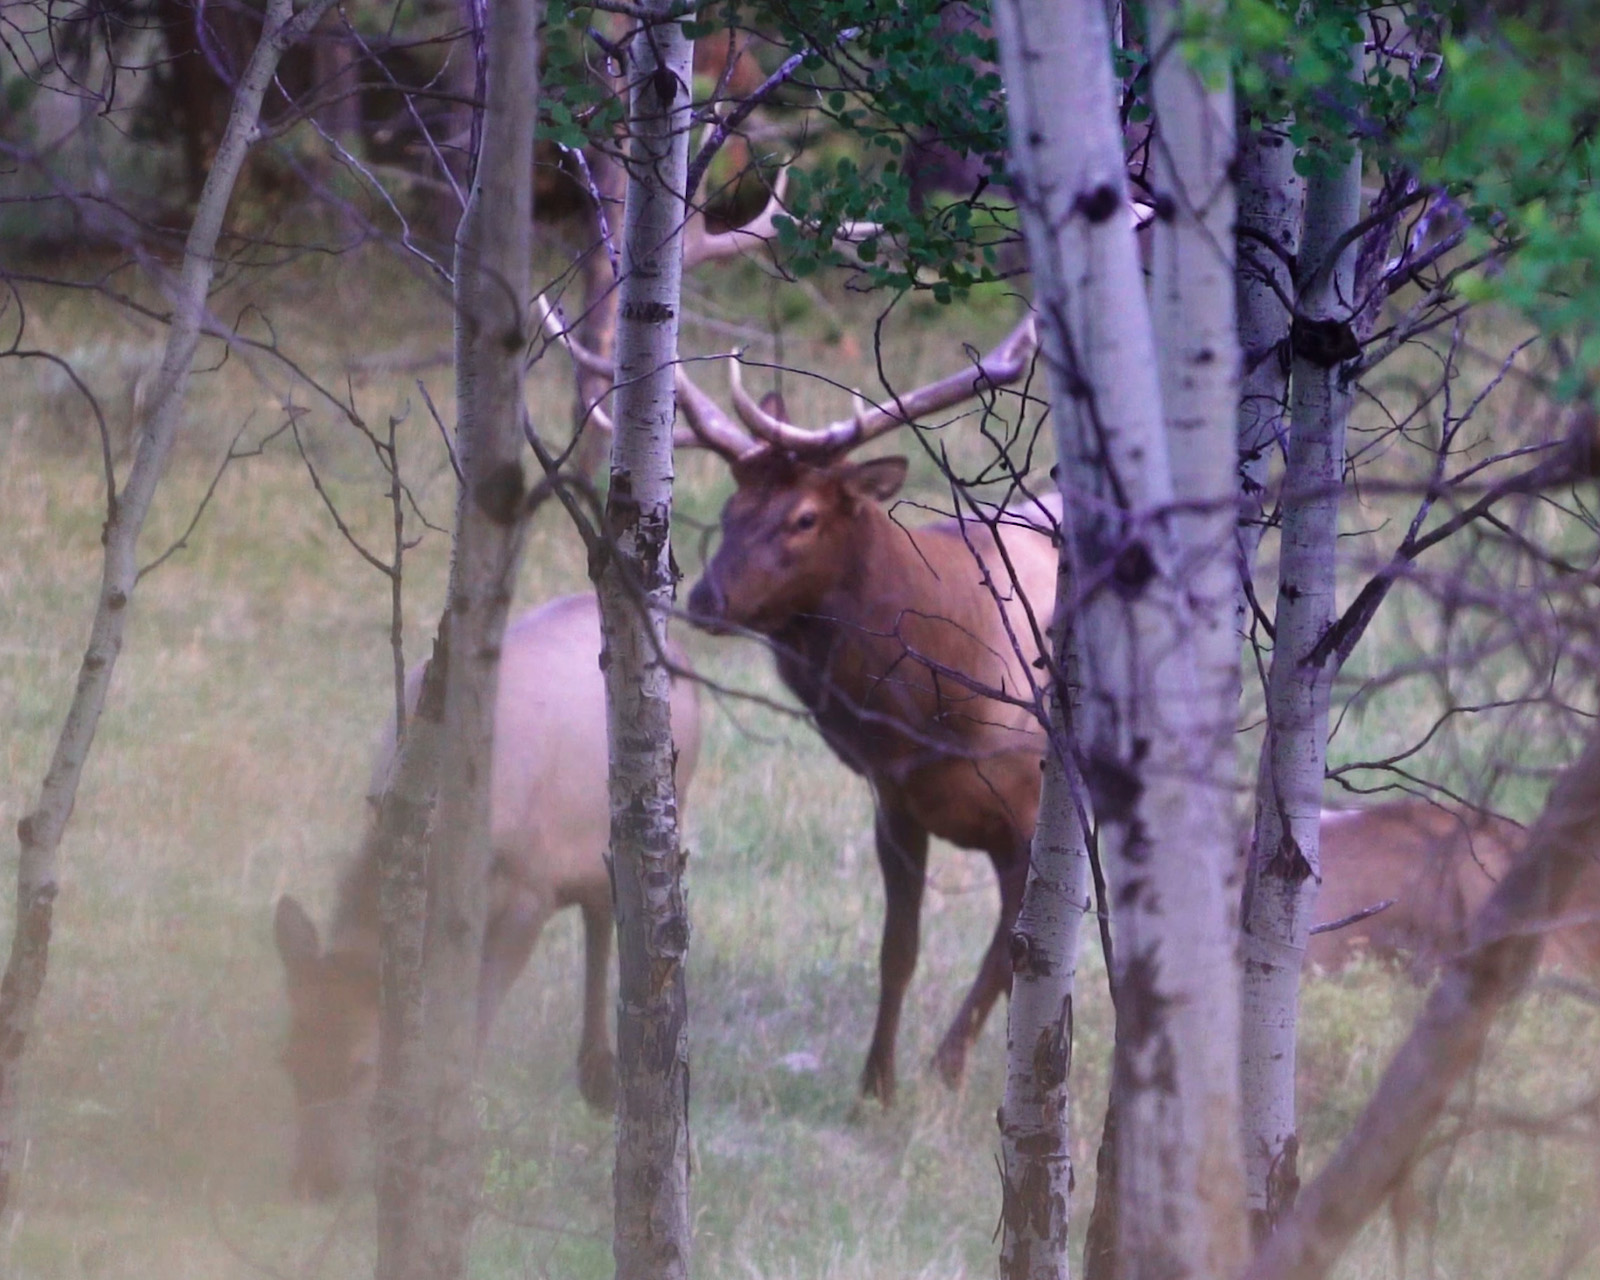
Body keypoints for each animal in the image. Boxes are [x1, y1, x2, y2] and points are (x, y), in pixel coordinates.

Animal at [272, 593, 701, 1199]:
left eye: (363, 1066)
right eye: (289, 1061)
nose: (315, 1181)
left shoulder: (526, 897)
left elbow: (472, 1021)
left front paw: (445, 1130)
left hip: (659, 805)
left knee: (612, 913)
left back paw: (600, 1073)